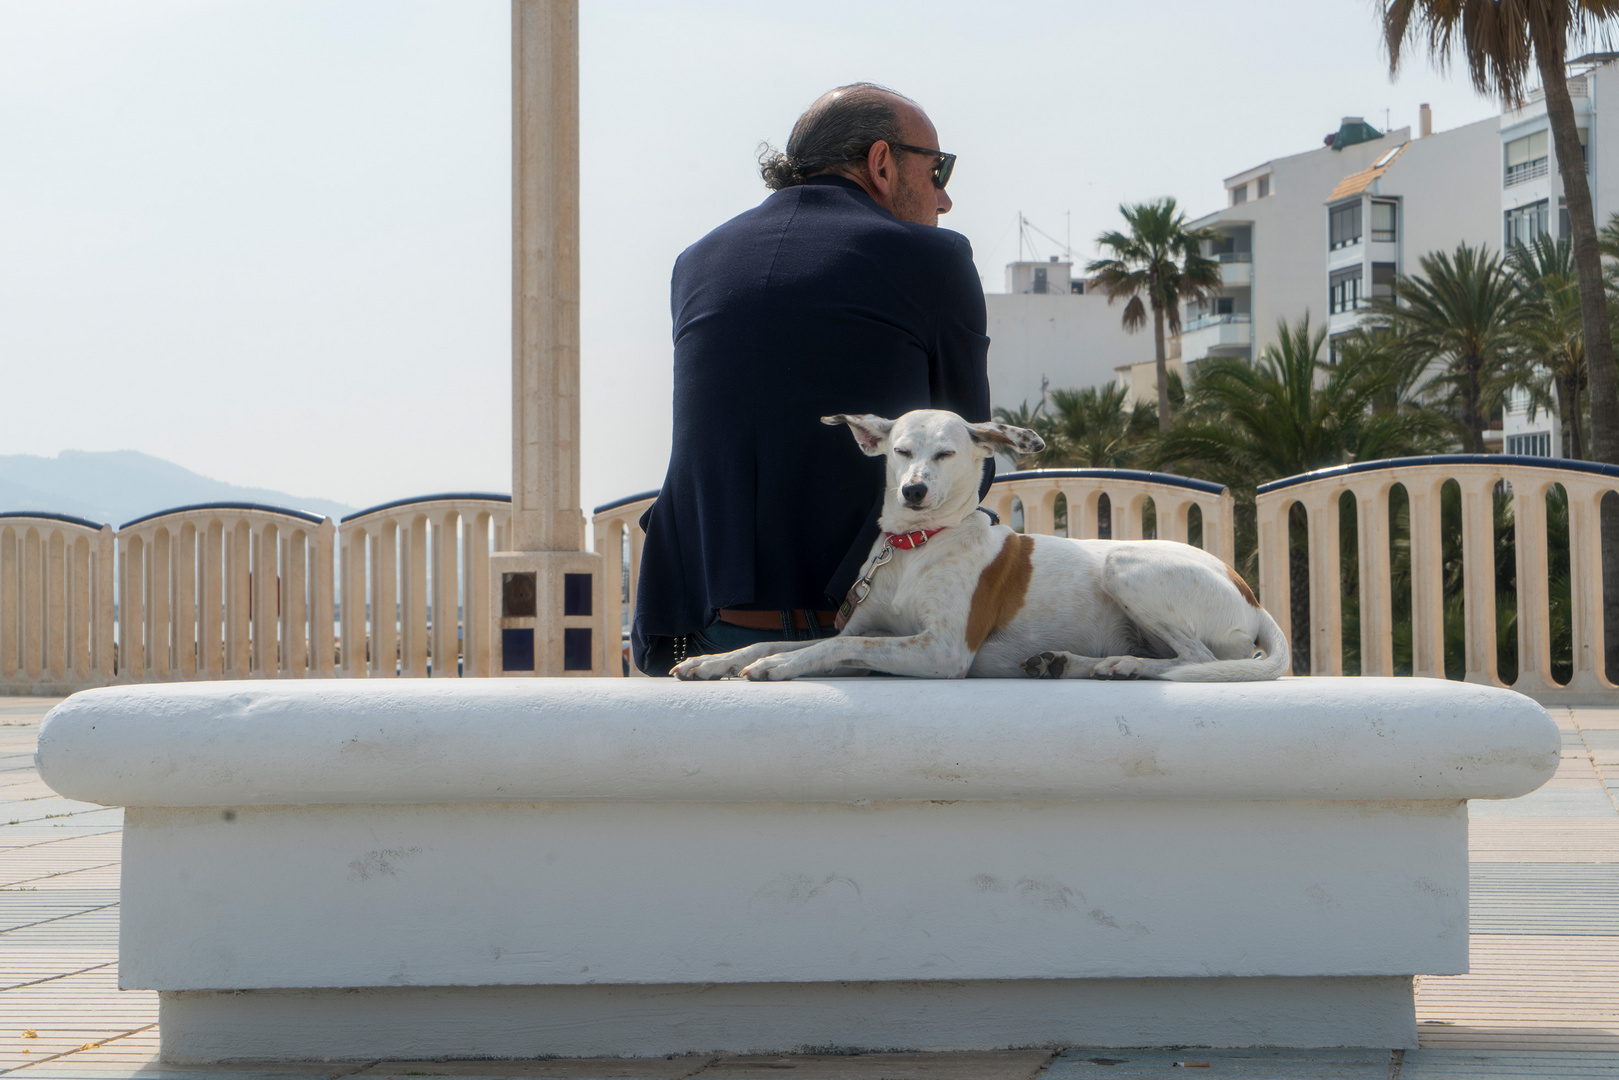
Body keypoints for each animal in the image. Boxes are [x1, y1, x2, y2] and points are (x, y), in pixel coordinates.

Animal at [673, 409, 1288, 680]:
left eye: (946, 453)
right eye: (900, 450)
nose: (914, 490)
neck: (916, 546)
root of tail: (1250, 595)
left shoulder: (943, 650)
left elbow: (823, 650)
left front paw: (777, 668)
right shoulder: (858, 628)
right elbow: (780, 642)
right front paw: (713, 661)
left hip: (1125, 564)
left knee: (1198, 661)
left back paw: (1126, 667)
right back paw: (1068, 662)